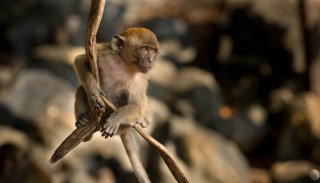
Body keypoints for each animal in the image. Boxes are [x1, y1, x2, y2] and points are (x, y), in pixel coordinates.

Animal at [72, 27, 158, 183]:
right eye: (145, 49)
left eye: (154, 51)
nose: (151, 60)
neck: (125, 65)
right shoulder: (105, 53)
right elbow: (80, 60)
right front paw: (94, 92)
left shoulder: (139, 81)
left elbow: (138, 107)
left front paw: (116, 118)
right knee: (81, 89)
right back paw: (83, 123)